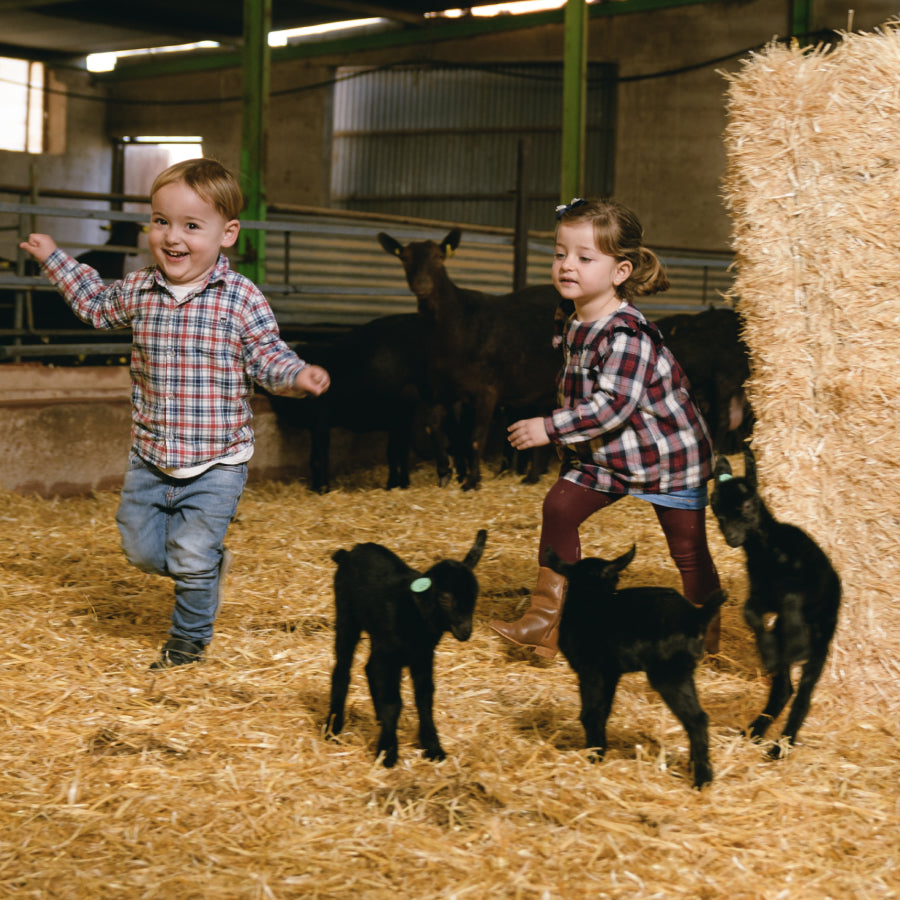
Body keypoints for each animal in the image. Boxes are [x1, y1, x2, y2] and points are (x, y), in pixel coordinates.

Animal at [380, 229, 564, 488]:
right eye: (404, 258)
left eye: (439, 257)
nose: (422, 285)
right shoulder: (444, 390)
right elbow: (433, 426)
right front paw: (445, 472)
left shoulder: (487, 390)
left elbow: (476, 437)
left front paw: (472, 481)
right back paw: (532, 476)